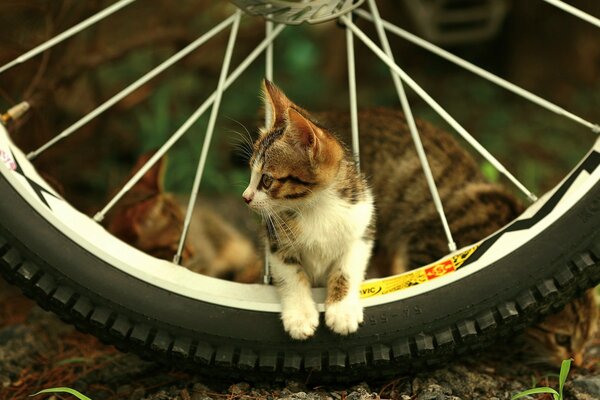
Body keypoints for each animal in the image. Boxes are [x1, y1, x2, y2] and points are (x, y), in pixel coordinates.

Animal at [241, 79, 372, 340]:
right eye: (251, 172)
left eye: (267, 180)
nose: (246, 197)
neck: (316, 207)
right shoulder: (276, 242)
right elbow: (292, 275)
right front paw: (300, 316)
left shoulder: (362, 227)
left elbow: (347, 269)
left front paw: (342, 310)